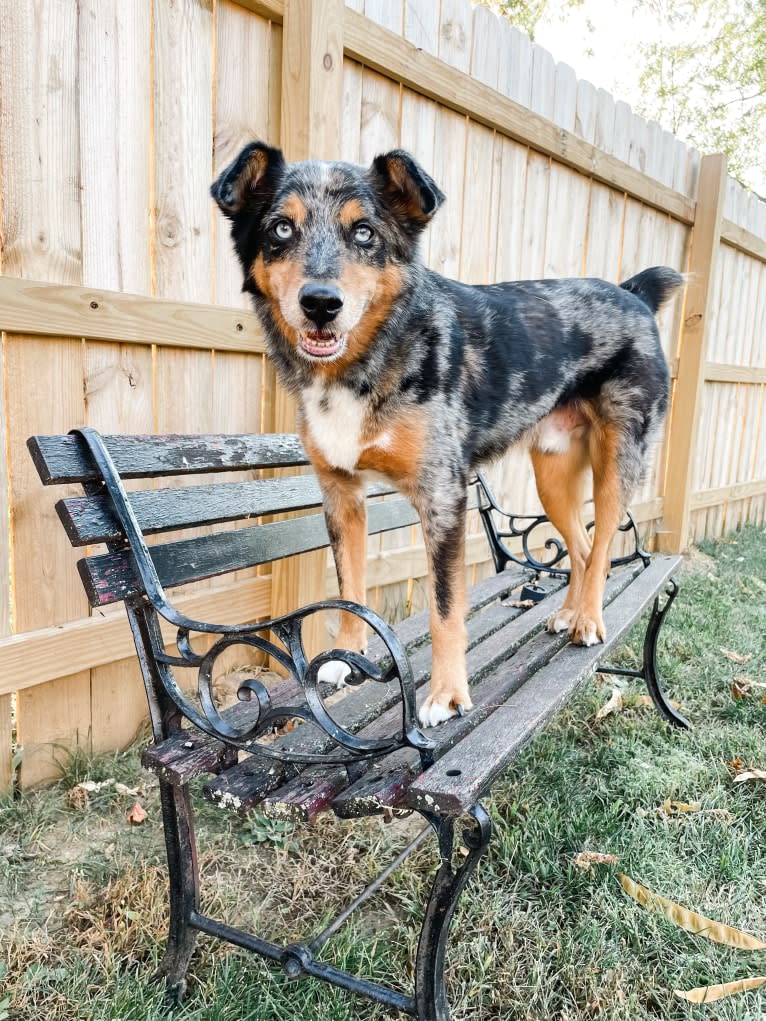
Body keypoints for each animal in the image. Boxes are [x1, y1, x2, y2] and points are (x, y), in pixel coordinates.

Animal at [211, 141, 682, 726]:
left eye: (363, 233)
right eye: (280, 228)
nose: (320, 303)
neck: (372, 355)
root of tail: (631, 293)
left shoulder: (443, 500)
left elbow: (445, 609)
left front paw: (448, 694)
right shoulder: (341, 495)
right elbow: (351, 587)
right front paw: (345, 658)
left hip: (618, 461)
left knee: (600, 550)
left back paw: (589, 621)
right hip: (551, 475)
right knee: (580, 545)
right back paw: (567, 614)